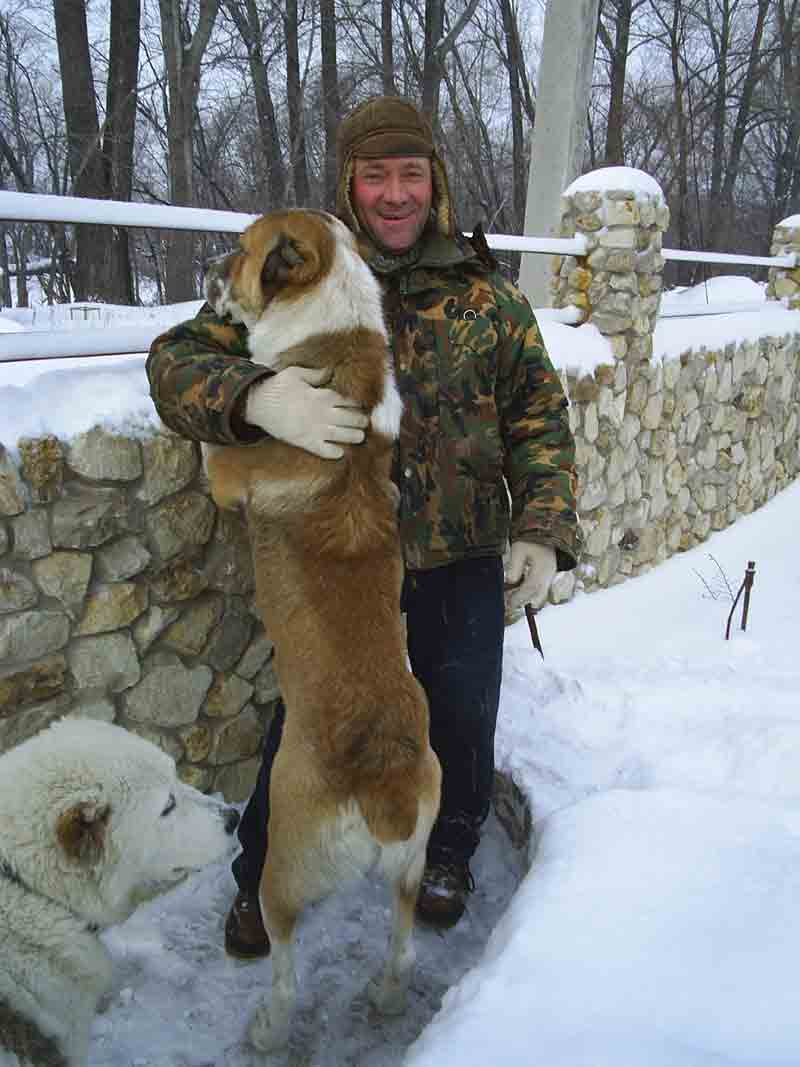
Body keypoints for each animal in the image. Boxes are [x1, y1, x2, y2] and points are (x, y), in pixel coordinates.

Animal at [203, 209, 442, 1053]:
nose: (206, 272)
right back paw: (386, 993)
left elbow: (217, 442)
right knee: (403, 942)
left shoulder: (225, 473)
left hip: (283, 866)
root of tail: (383, 780)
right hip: (412, 867)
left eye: (241, 248)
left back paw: (269, 1026)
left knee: (286, 962)